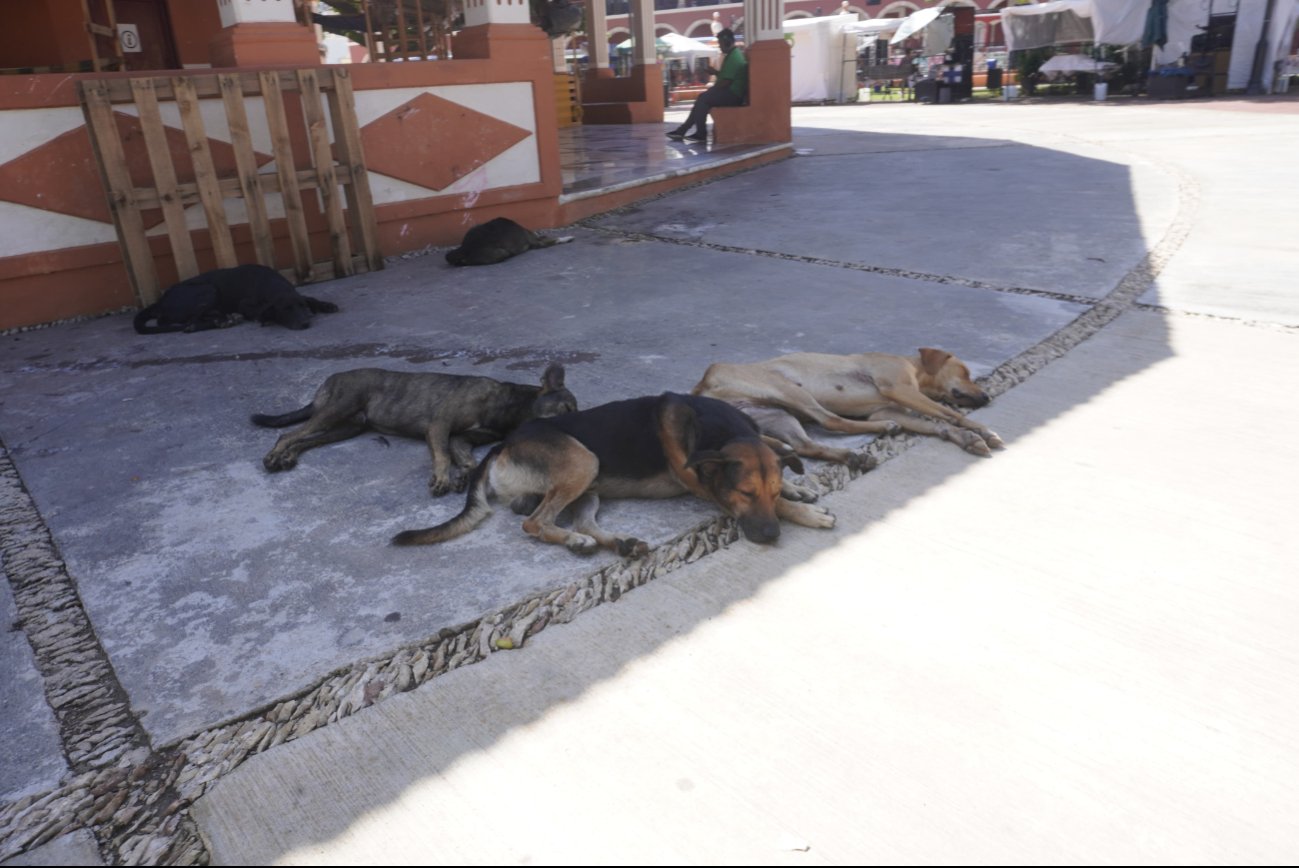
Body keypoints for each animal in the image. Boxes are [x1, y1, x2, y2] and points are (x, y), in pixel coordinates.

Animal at [133, 262, 340, 335]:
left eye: (301, 307)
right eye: (285, 310)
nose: (305, 323)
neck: (271, 284)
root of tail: (160, 301)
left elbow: (310, 297)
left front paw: (326, 305)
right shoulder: (245, 304)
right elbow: (258, 311)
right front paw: (266, 318)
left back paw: (223, 318)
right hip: (209, 289)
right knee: (187, 323)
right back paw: (222, 321)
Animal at [250, 361, 576, 493]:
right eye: (567, 409)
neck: (508, 406)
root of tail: (327, 383)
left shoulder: (461, 437)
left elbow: (466, 458)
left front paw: (463, 475)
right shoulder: (439, 426)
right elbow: (442, 456)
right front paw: (443, 478)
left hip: (347, 427)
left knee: (304, 439)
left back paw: (288, 456)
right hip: (336, 409)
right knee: (289, 433)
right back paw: (275, 455)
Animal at [389, 392, 831, 556]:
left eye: (770, 489)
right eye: (744, 493)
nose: (770, 537)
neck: (723, 431)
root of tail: (503, 446)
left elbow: (786, 454)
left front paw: (797, 487)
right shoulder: (709, 490)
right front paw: (808, 513)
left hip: (589, 484)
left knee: (577, 520)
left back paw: (618, 542)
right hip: (584, 462)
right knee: (534, 523)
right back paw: (576, 540)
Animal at [691, 348, 1002, 465]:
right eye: (965, 372)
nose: (987, 397)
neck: (914, 369)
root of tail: (700, 385)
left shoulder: (889, 407)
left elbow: (938, 424)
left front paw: (967, 438)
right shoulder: (897, 388)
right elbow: (950, 414)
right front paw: (981, 430)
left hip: (774, 415)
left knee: (805, 445)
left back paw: (851, 455)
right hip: (788, 389)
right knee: (830, 420)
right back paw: (880, 430)